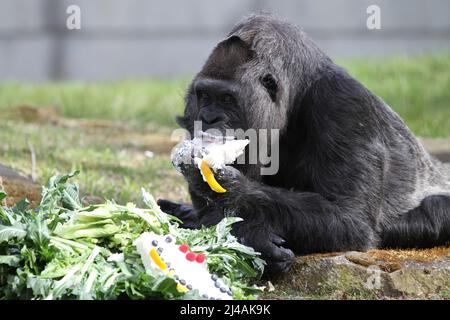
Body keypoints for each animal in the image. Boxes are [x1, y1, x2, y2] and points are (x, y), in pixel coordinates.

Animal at [156, 13, 448, 276]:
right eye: (205, 96)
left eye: (227, 98)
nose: (209, 118)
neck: (299, 91)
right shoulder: (191, 107)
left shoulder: (343, 102)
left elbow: (351, 219)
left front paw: (234, 197)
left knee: (434, 209)